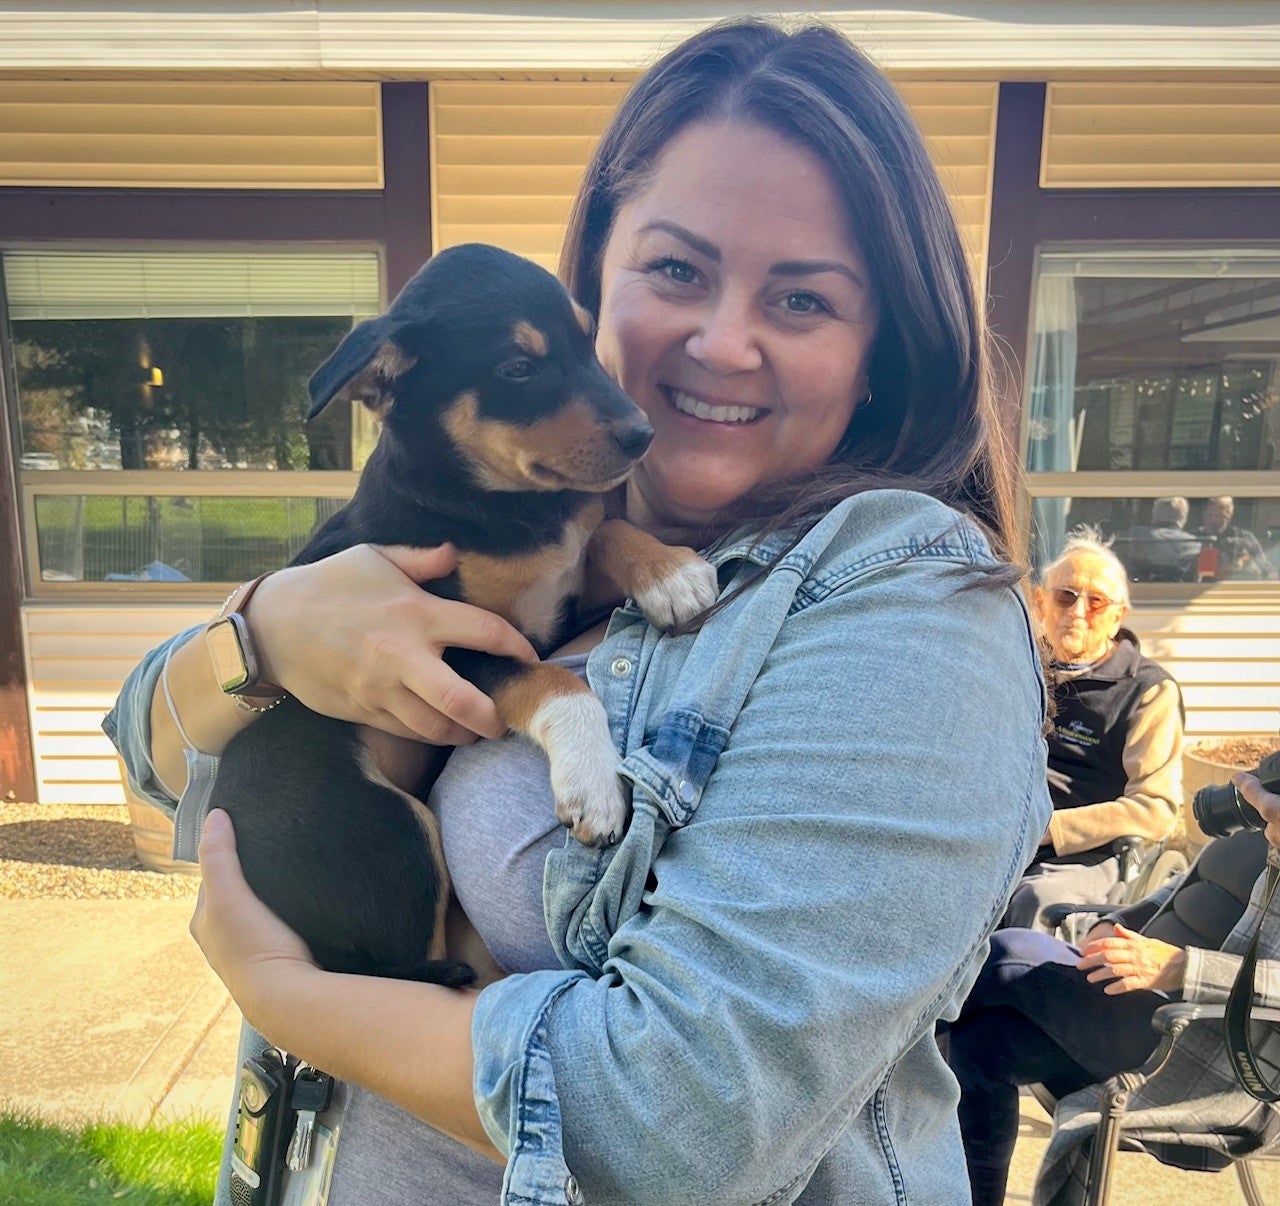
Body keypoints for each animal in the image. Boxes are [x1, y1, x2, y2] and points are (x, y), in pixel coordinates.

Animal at [204, 240, 716, 988]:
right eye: (518, 369)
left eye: (587, 343)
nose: (644, 434)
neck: (492, 505)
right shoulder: (449, 650)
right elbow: (554, 681)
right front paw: (592, 783)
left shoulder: (555, 603)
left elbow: (604, 533)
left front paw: (671, 574)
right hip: (392, 834)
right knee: (409, 964)